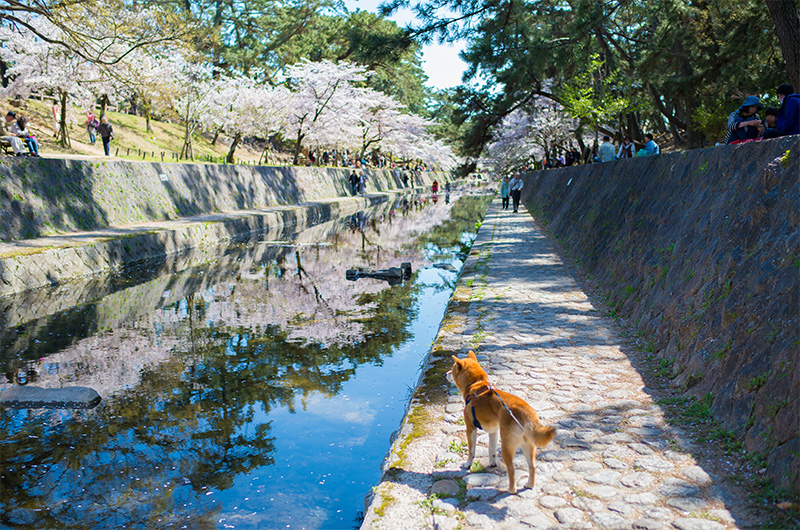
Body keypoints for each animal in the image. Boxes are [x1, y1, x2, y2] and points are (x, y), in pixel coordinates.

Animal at [450, 350, 556, 490]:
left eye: (452, 369)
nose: (446, 373)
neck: (476, 385)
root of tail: (527, 412)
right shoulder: (493, 431)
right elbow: (492, 451)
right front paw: (492, 463)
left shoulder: (470, 428)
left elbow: (471, 451)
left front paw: (468, 464)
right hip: (528, 446)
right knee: (532, 467)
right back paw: (529, 485)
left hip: (507, 447)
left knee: (511, 470)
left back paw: (511, 490)